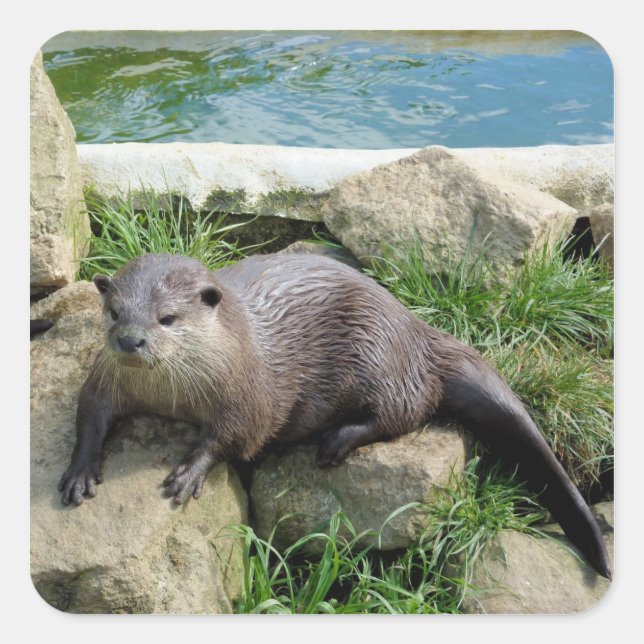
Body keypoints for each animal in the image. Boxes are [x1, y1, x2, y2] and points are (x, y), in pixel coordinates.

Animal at [59, 253, 611, 579]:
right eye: (114, 313)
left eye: (167, 318)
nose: (130, 340)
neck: (173, 396)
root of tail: (417, 329)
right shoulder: (104, 378)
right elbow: (88, 413)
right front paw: (80, 471)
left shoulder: (247, 395)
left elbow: (232, 436)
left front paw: (190, 471)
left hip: (379, 355)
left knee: (406, 412)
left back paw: (336, 440)